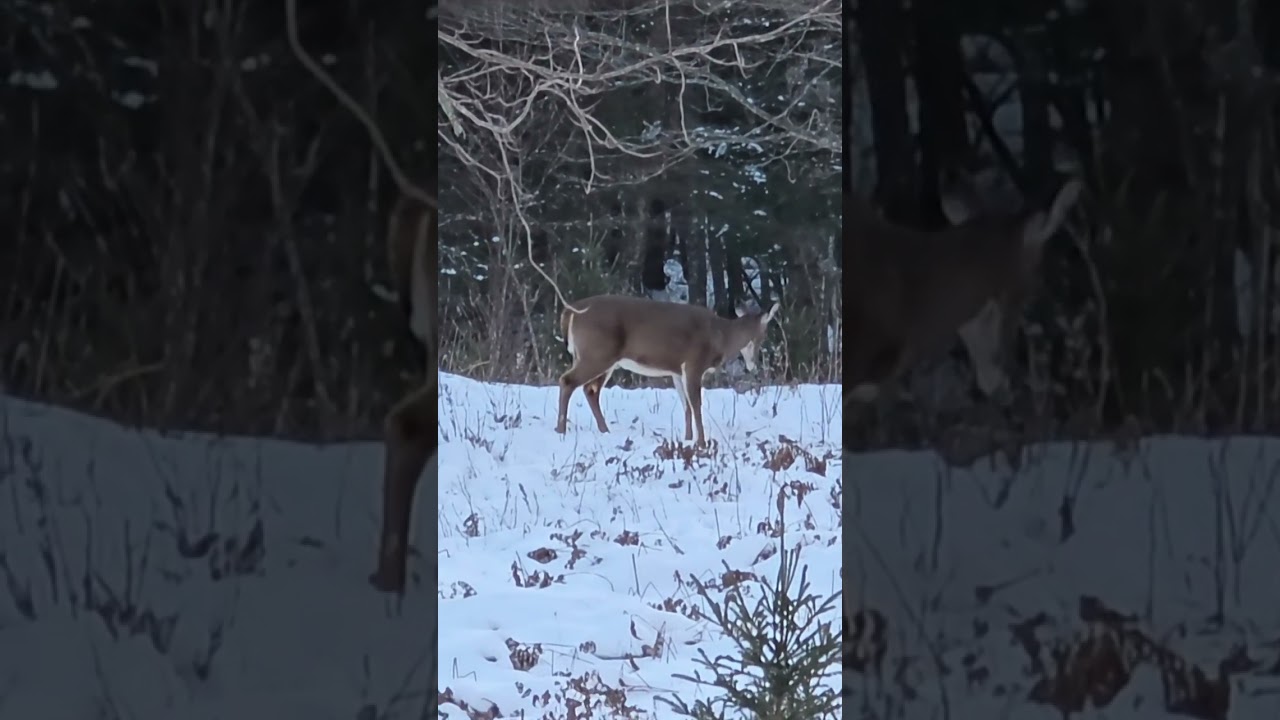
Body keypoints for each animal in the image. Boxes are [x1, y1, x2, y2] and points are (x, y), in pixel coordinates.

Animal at [554, 295, 781, 447]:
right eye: (764, 335)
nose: (753, 364)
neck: (721, 336)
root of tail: (570, 312)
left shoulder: (677, 371)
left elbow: (686, 406)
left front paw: (688, 438)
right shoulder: (694, 363)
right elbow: (696, 405)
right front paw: (701, 442)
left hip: (603, 359)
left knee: (590, 390)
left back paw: (605, 431)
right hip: (597, 353)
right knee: (568, 381)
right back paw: (561, 430)